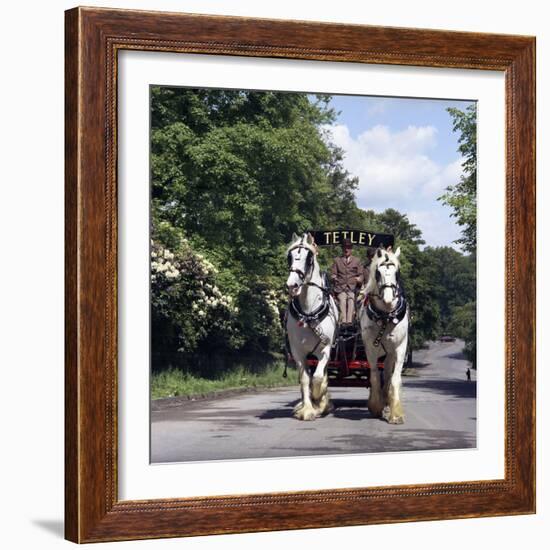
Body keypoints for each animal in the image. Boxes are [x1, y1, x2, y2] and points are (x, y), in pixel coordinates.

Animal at [286, 234, 338, 422]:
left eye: (309, 259)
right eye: (290, 257)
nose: (292, 285)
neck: (308, 313)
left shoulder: (325, 349)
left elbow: (317, 378)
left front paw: (319, 401)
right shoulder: (298, 352)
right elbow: (304, 380)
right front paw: (307, 409)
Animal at [362, 248, 410, 424]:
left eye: (397, 272)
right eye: (378, 272)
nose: (388, 299)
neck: (386, 316)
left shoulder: (400, 347)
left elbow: (394, 378)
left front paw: (396, 413)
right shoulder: (370, 348)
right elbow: (375, 375)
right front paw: (376, 406)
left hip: (389, 353)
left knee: (388, 373)